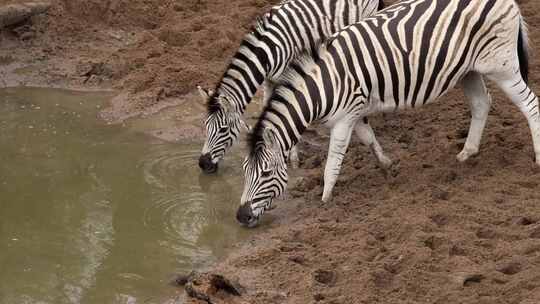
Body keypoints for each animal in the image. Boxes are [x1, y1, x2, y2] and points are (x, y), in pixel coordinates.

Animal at [196, 0, 390, 173]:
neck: (267, 53)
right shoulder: (269, 81)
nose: (203, 164)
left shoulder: (286, 78)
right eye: (205, 125)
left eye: (223, 129)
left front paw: (294, 159)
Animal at [238, 0, 536, 227]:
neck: (323, 87)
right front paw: (387, 165)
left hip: (501, 66)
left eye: (266, 174)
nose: (241, 217)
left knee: (530, 104)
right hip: (469, 70)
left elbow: (332, 162)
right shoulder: (353, 112)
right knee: (481, 104)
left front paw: (325, 199)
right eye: (244, 171)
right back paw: (467, 152)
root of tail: (510, 2)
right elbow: (369, 138)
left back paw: (537, 158)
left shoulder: (343, 119)